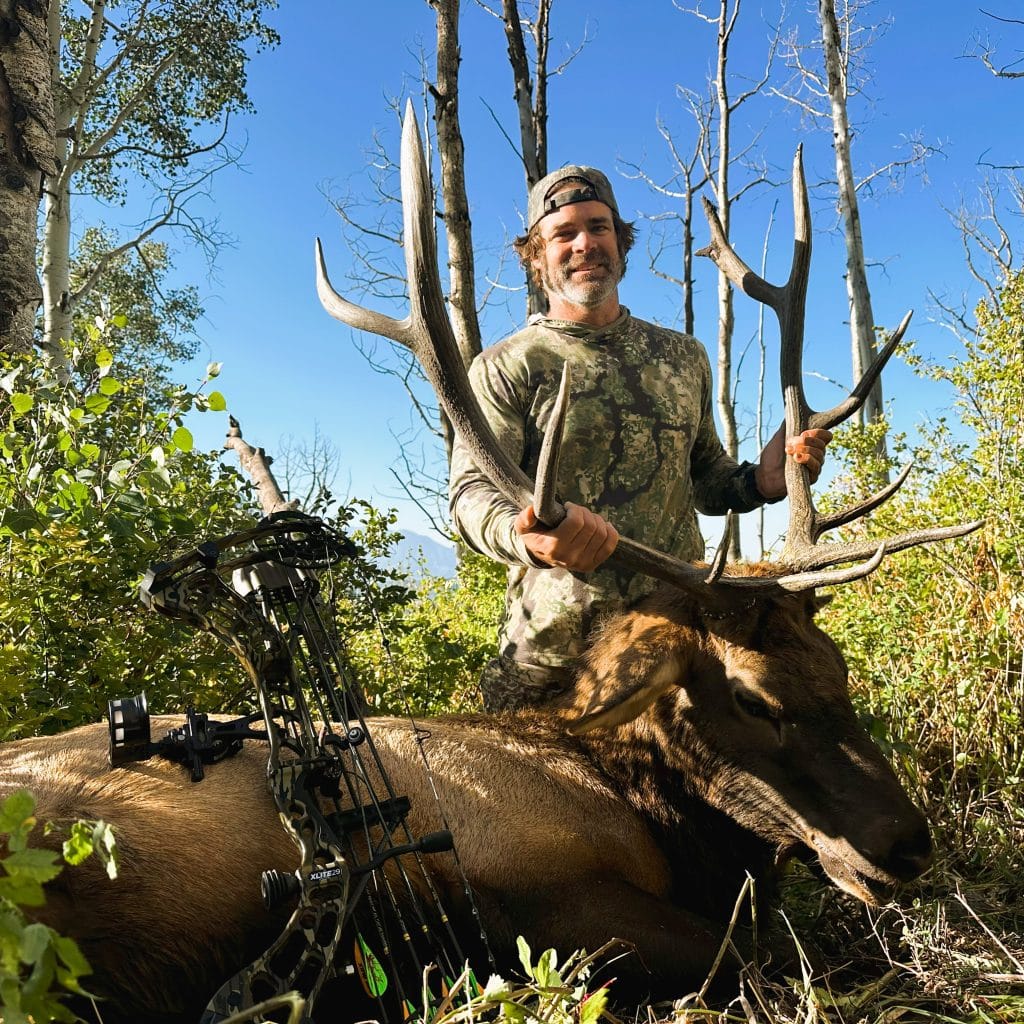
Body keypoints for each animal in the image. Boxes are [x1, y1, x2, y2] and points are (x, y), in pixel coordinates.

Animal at [0, 106, 981, 1024]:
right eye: (751, 697)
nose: (908, 844)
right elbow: (752, 953)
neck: (651, 815)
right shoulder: (544, 900)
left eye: (840, 670)